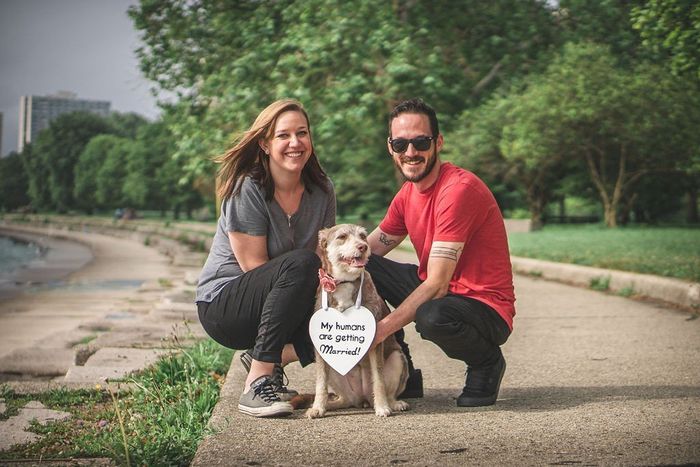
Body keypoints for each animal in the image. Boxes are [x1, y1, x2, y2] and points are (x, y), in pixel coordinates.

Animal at [308, 225, 410, 418]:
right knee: (345, 400)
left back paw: (393, 403)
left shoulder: (375, 341)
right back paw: (330, 404)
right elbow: (320, 382)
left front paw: (382, 407)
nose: (363, 246)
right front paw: (317, 407)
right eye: (342, 236)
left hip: (398, 359)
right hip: (336, 371)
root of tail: (362, 398)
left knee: (388, 390)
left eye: (363, 236)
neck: (344, 282)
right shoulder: (321, 349)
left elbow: (379, 379)